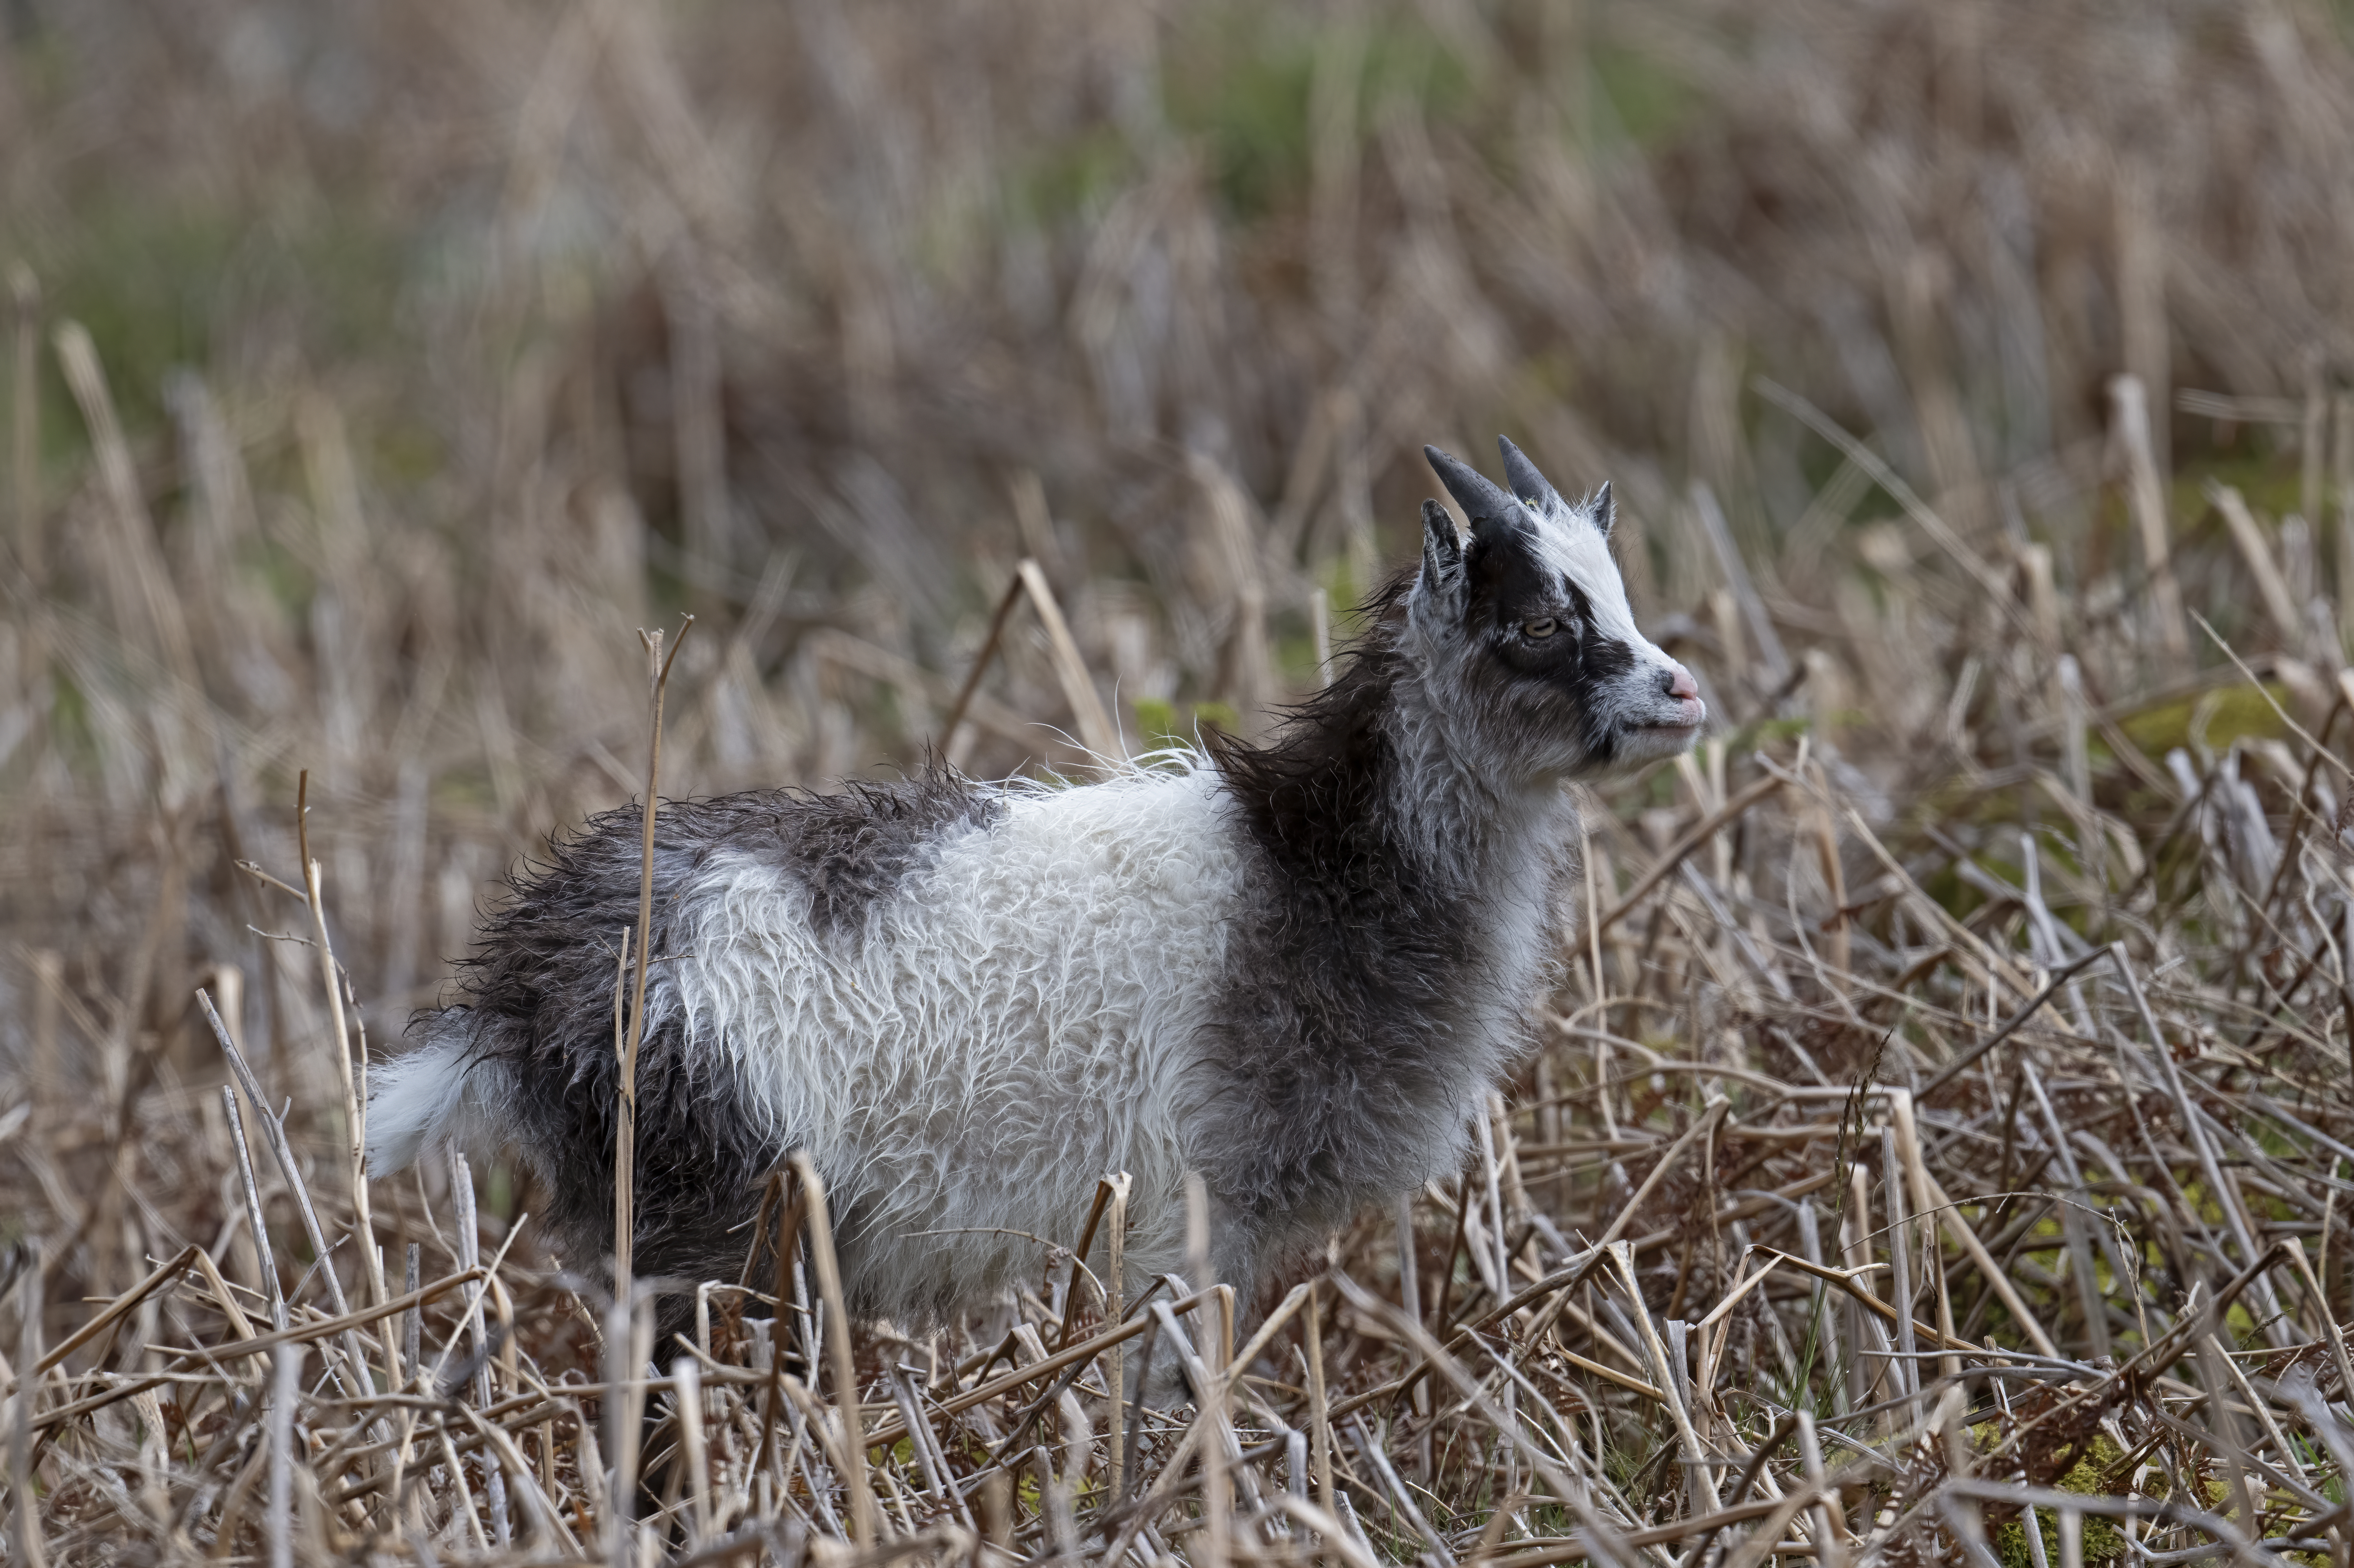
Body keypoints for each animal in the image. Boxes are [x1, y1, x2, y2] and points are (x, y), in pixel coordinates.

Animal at [372, 435, 1713, 1318]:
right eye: (1536, 621)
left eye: (1617, 595)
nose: (1681, 691)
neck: (1310, 866)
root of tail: (525, 984)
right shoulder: (1188, 1214)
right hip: (706, 1218)